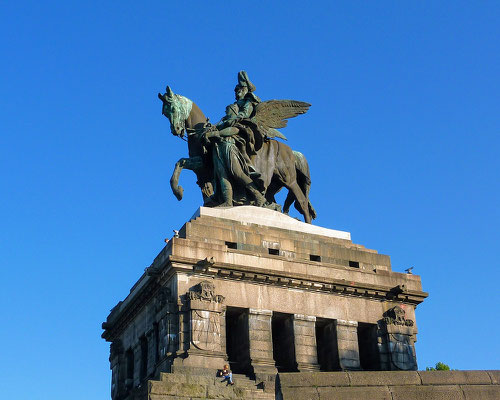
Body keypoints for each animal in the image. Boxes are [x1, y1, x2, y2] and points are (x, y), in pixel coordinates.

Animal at [158, 86, 314, 223]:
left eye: (173, 108)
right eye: (165, 113)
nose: (176, 130)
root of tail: (293, 152)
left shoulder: (204, 165)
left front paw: (180, 192)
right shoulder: (201, 168)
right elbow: (181, 164)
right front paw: (181, 192)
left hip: (288, 179)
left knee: (302, 200)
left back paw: (307, 225)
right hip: (275, 183)